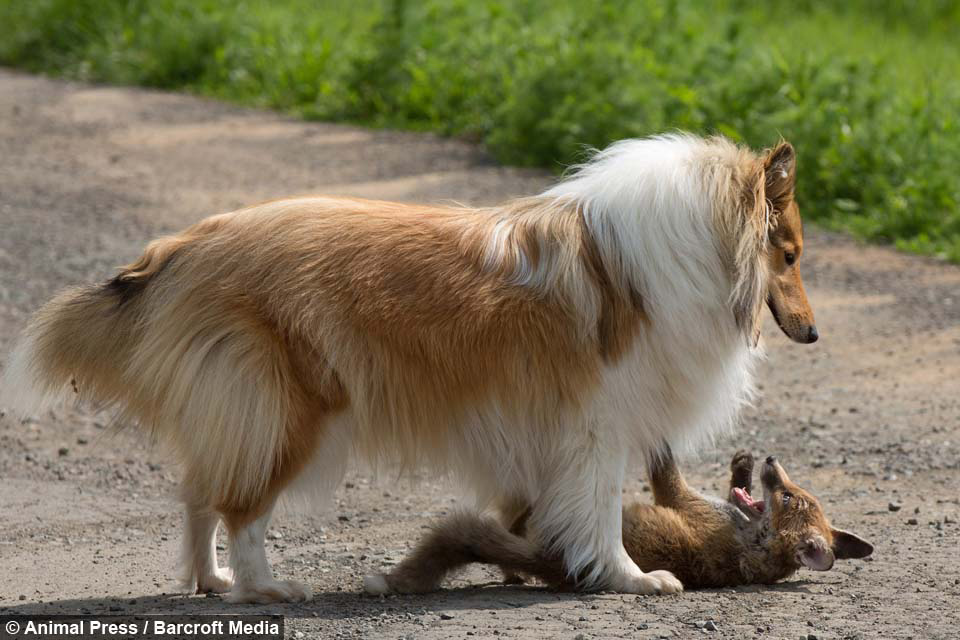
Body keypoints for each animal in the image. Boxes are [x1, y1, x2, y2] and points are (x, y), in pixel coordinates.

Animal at [3, 132, 820, 604]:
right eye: (789, 254)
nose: (813, 334)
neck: (697, 242)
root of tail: (180, 247)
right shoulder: (596, 425)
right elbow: (597, 514)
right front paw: (629, 579)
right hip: (292, 409)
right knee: (242, 508)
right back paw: (269, 588)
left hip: (242, 408)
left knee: (204, 491)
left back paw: (211, 581)